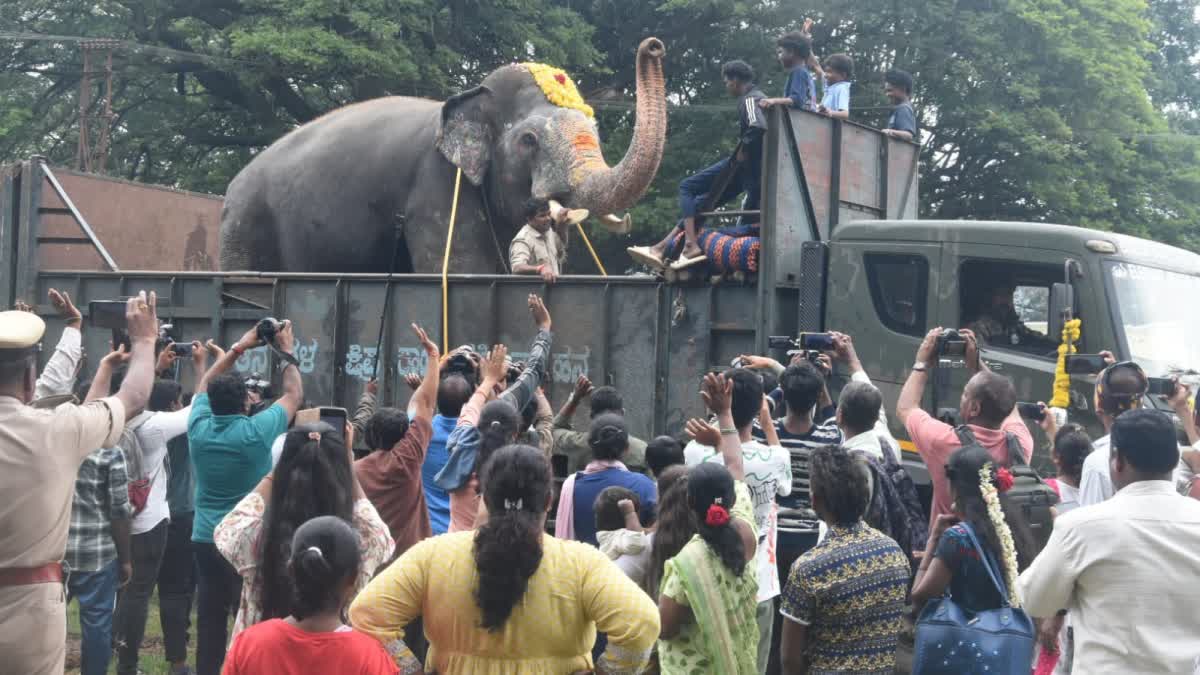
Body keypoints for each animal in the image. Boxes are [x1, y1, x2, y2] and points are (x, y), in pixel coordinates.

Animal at [214, 36, 667, 271]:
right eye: (528, 140)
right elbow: (465, 271)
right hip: (245, 226)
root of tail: (231, 187)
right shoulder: (436, 185)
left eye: (595, 130)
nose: (654, 47)